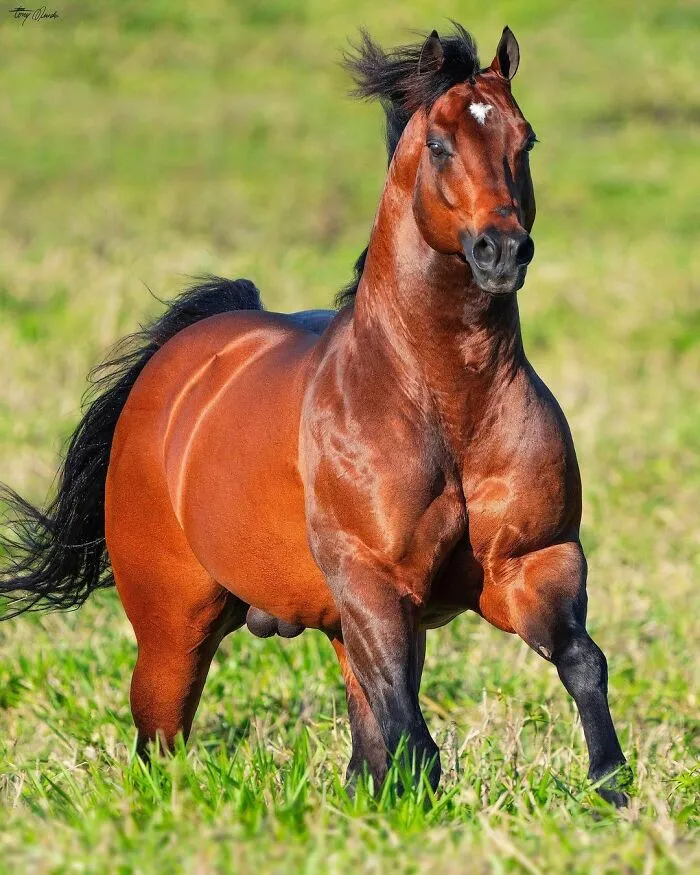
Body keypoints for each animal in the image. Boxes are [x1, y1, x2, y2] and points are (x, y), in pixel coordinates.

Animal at [0, 24, 629, 806]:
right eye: (440, 144)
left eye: (527, 139)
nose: (503, 250)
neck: (445, 403)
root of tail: (173, 368)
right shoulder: (373, 583)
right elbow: (408, 725)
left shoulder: (533, 560)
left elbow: (580, 661)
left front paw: (613, 791)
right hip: (175, 626)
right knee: (160, 739)